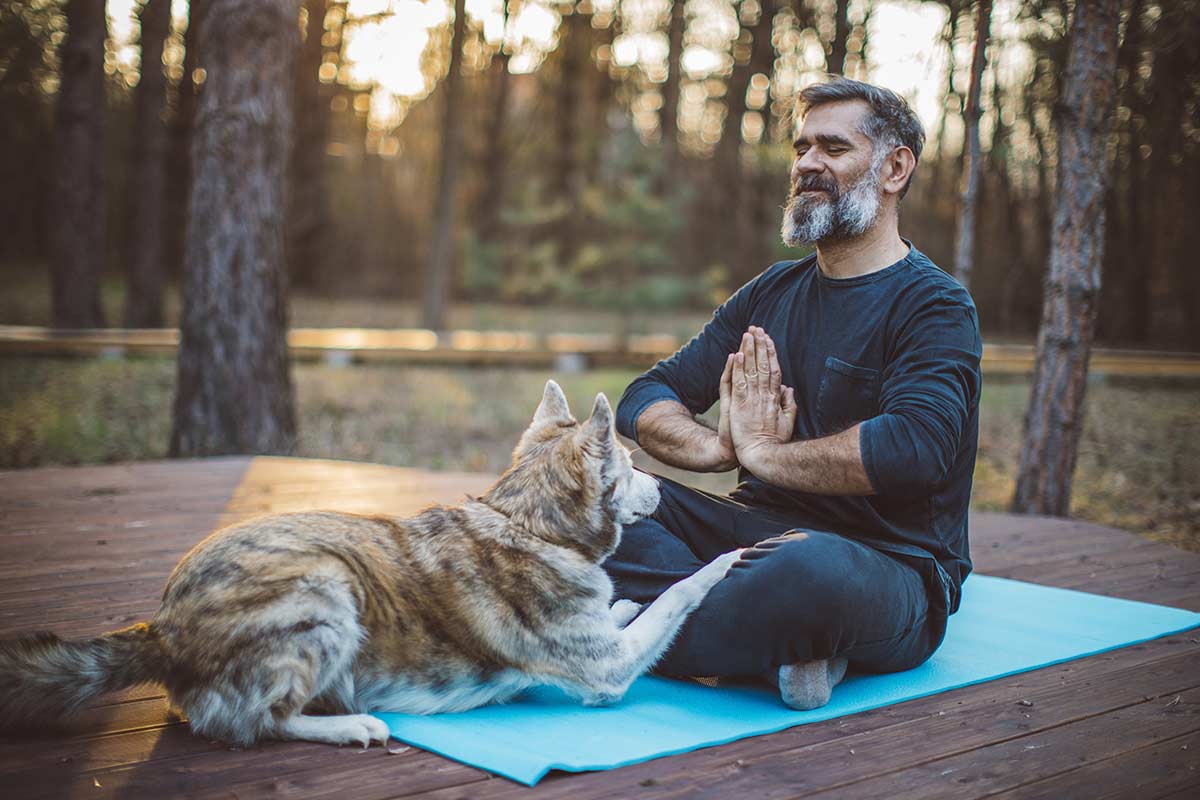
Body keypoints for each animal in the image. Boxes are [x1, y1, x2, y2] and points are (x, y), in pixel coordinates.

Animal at [0, 381, 734, 753]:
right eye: (631, 466)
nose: (661, 488)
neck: (529, 521)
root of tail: (163, 629)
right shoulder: (606, 674)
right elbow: (679, 592)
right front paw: (730, 557)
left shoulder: (601, 643)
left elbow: (630, 609)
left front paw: (622, 600)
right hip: (325, 594)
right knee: (258, 724)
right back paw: (351, 725)